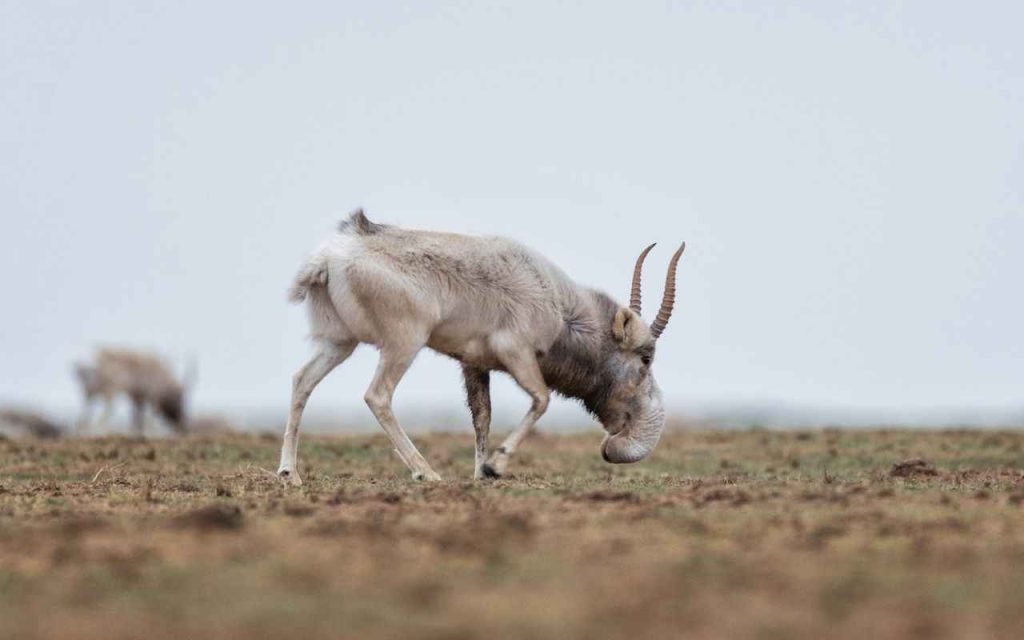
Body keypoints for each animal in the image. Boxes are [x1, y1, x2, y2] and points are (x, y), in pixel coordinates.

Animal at [279, 210, 685, 484]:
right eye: (646, 357)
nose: (614, 442)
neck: (558, 303)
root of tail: (329, 258)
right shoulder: (516, 352)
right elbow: (541, 400)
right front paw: (495, 465)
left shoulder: (474, 364)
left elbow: (482, 416)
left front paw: (480, 474)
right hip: (404, 344)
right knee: (377, 396)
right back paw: (426, 473)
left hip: (339, 342)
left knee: (302, 380)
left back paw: (289, 474)